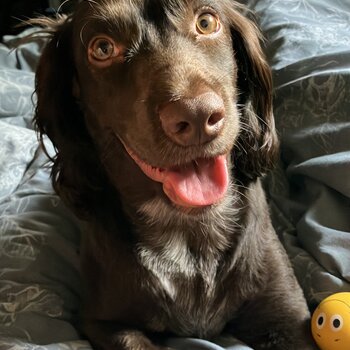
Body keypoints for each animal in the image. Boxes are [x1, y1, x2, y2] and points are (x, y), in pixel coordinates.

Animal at [33, 0, 318, 350]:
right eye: (102, 48)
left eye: (206, 22)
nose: (197, 116)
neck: (189, 230)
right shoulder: (104, 322)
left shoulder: (285, 315)